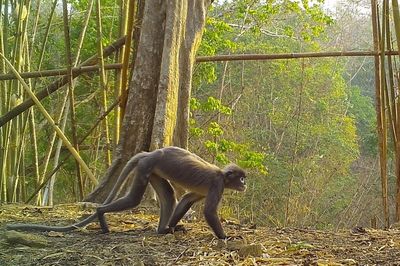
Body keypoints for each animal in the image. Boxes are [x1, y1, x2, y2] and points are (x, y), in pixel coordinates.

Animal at [7, 147, 247, 240]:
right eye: (242, 178)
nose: (245, 185)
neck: (223, 175)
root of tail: (151, 152)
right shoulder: (217, 184)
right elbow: (208, 212)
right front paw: (227, 237)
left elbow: (187, 199)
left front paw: (172, 227)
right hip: (146, 166)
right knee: (134, 199)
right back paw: (101, 215)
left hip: (152, 170)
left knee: (169, 196)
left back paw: (163, 230)